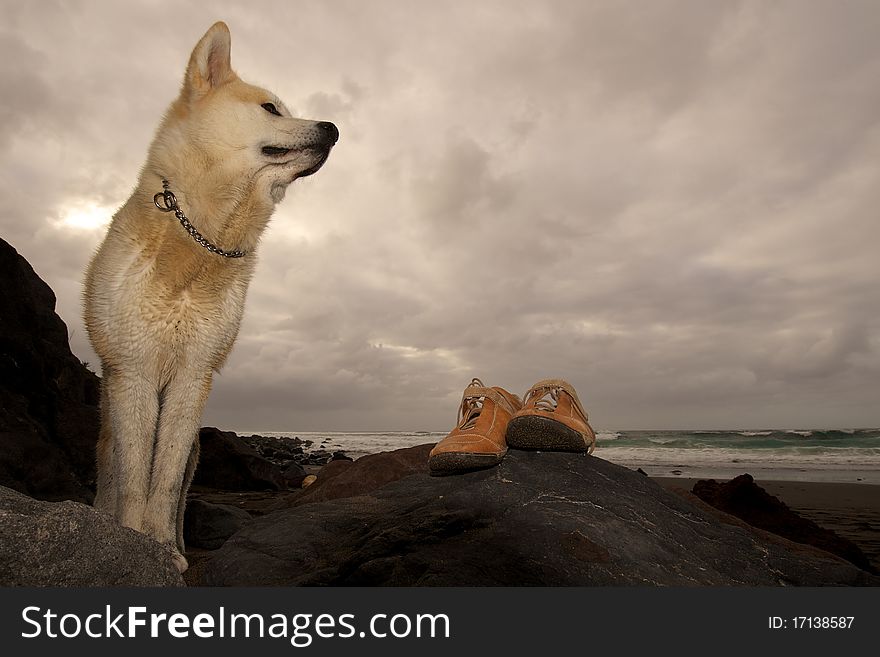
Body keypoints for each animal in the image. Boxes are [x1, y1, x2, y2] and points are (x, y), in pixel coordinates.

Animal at [83, 23, 336, 572]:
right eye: (271, 108)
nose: (332, 128)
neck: (201, 241)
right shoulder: (133, 372)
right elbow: (134, 479)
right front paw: (132, 539)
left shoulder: (193, 376)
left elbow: (164, 482)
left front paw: (163, 548)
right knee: (110, 474)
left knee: (179, 493)